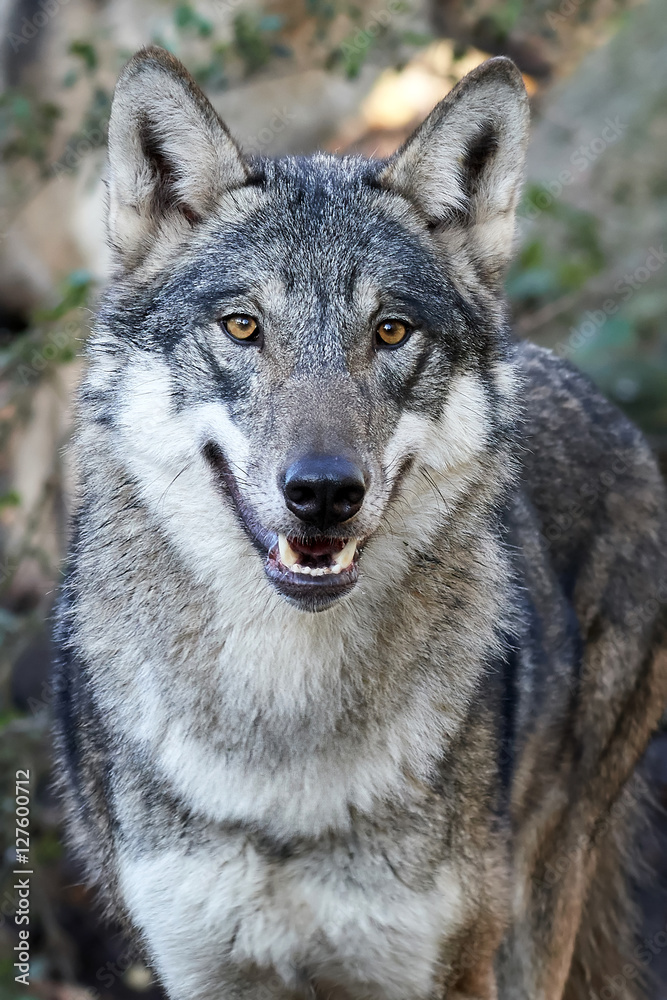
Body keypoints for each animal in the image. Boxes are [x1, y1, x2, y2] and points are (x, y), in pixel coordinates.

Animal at [53, 47, 667, 1000]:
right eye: (243, 327)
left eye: (389, 331)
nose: (322, 491)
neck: (284, 740)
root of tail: (604, 402)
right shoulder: (199, 969)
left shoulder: (443, 969)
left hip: (538, 917)